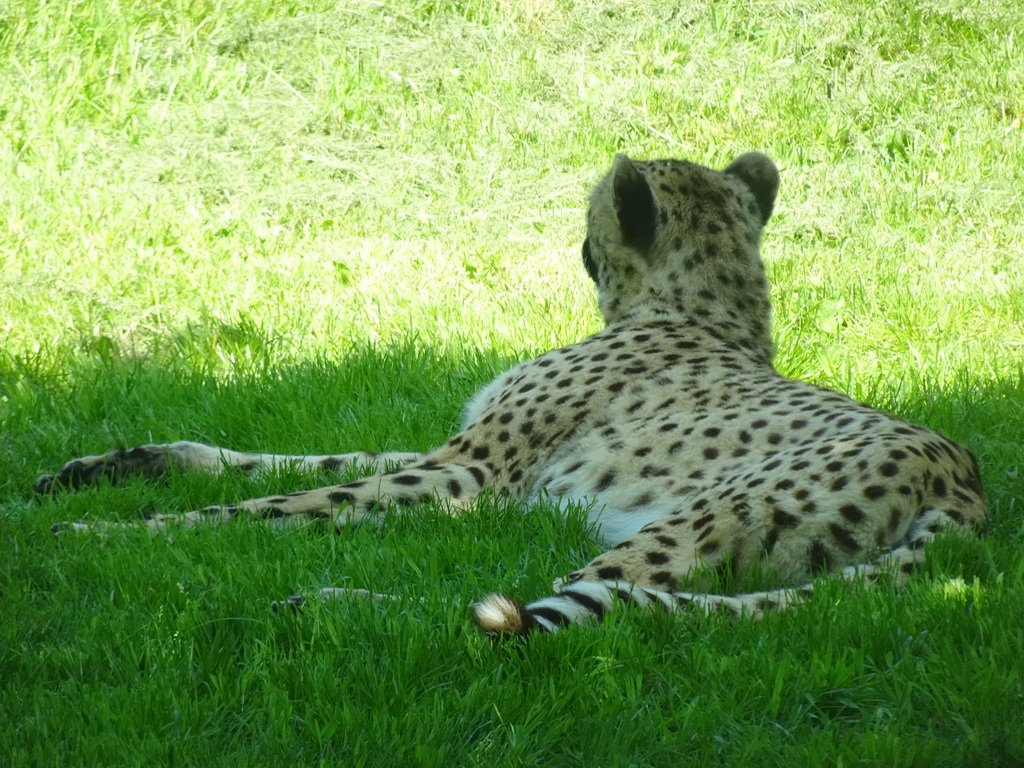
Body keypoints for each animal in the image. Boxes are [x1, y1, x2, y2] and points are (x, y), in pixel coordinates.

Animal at [36, 151, 987, 638]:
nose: (573, 237)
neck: (702, 306)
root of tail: (963, 481)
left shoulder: (471, 476)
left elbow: (286, 501)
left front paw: (109, 537)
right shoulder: (464, 452)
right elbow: (288, 463)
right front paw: (114, 470)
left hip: (700, 518)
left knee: (529, 612)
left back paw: (333, 605)